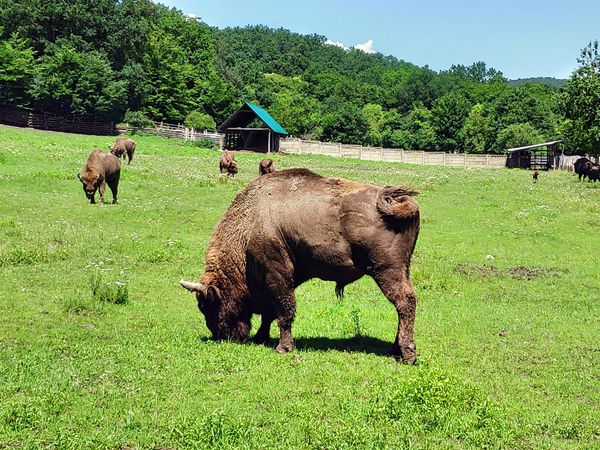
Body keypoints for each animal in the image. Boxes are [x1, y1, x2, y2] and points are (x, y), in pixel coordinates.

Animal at [180, 168, 420, 362]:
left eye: (208, 305)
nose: (221, 336)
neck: (248, 228)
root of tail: (396, 200)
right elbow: (271, 312)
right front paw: (261, 338)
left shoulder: (277, 273)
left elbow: (284, 311)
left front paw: (283, 347)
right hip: (402, 270)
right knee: (402, 307)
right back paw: (395, 350)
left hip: (387, 271)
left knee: (405, 303)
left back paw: (407, 355)